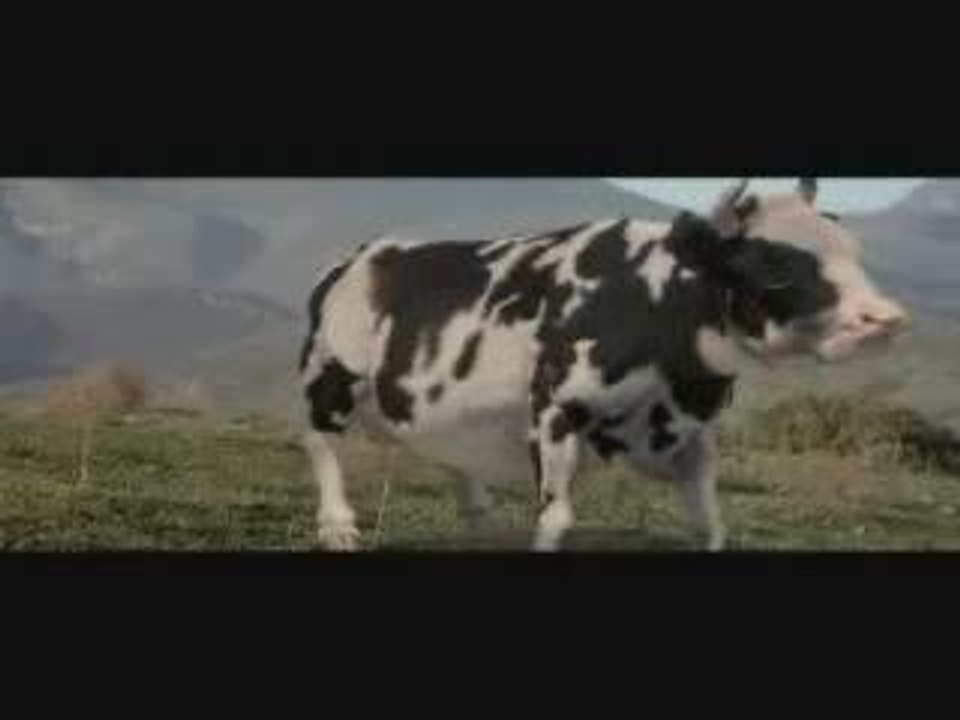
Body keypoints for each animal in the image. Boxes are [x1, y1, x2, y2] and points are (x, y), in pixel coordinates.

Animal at [297, 178, 911, 552]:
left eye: (855, 251)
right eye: (776, 267)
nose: (885, 318)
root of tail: (359, 258)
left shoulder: (691, 432)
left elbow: (708, 520)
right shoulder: (555, 407)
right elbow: (555, 517)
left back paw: (479, 519)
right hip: (329, 379)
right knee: (322, 443)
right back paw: (339, 527)